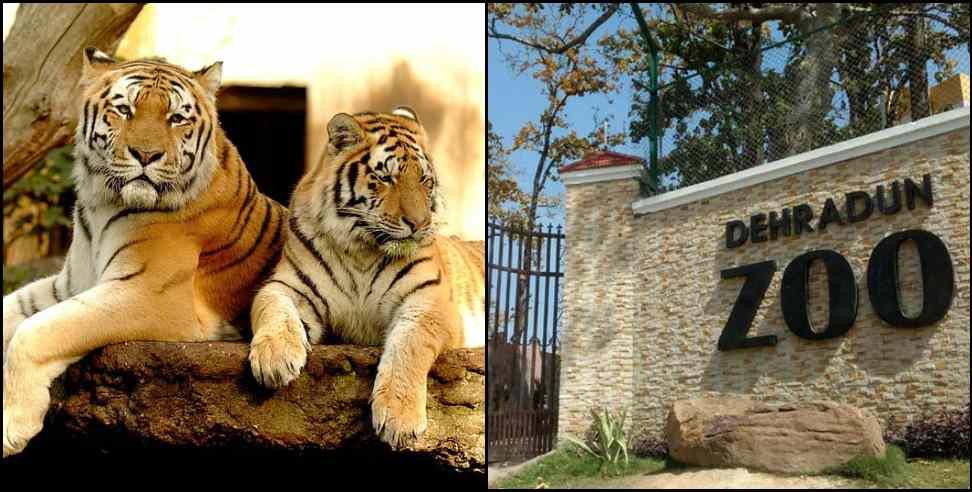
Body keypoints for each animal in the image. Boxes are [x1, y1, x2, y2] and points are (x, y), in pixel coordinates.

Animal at [1, 47, 286, 458]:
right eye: (124, 110)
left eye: (177, 118)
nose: (146, 154)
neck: (101, 202)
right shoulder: (69, 284)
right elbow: (17, 309)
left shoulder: (147, 292)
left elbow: (38, 329)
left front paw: (12, 424)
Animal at [247, 107, 482, 450]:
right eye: (386, 178)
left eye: (424, 180)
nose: (420, 224)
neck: (362, 248)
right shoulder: (289, 286)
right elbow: (273, 309)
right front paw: (274, 358)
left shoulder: (430, 300)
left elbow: (408, 344)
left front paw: (399, 418)